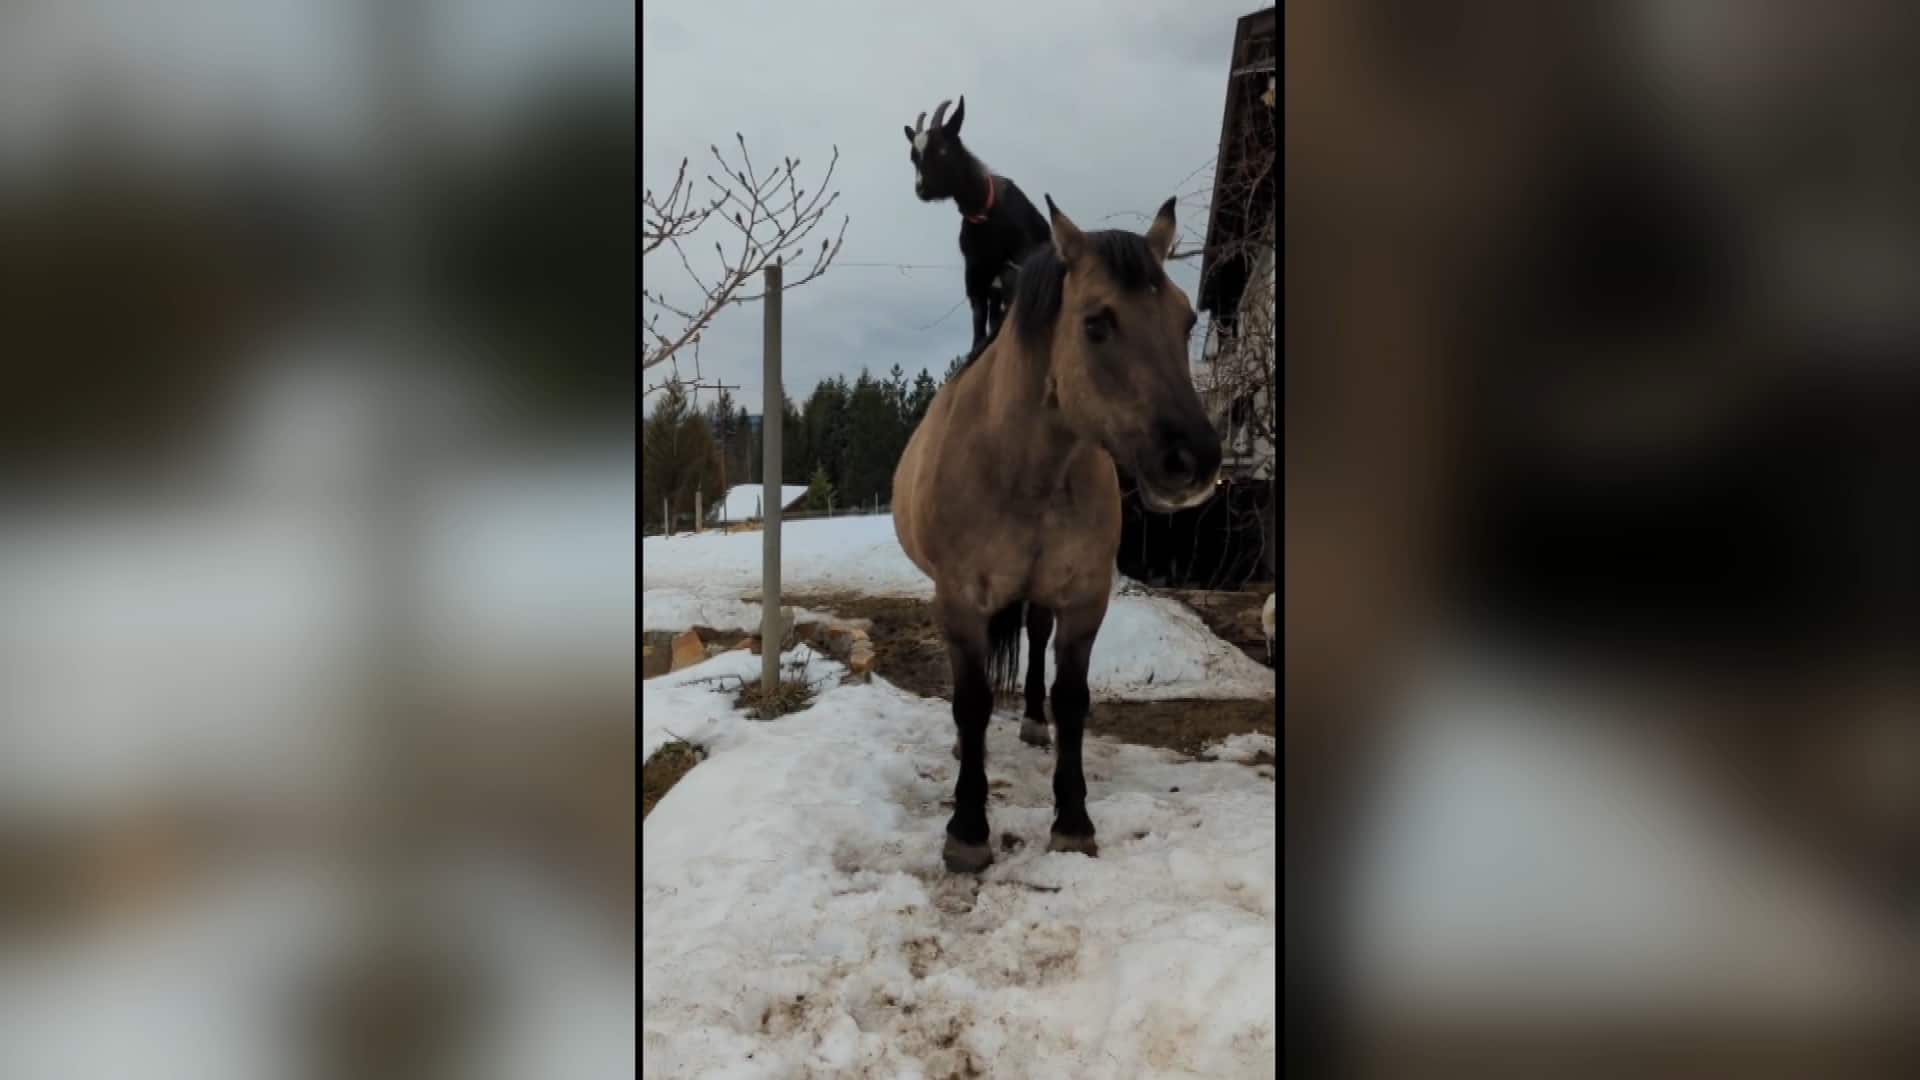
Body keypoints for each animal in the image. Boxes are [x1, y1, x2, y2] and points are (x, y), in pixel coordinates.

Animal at [894, 191, 1221, 864]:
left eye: (1185, 321)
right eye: (1097, 322)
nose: (1195, 461)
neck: (1023, 468)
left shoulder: (1083, 597)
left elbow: (1073, 701)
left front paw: (1072, 820)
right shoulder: (959, 597)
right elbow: (971, 700)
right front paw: (968, 830)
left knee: (1035, 638)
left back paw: (1032, 723)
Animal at [902, 95, 1052, 355]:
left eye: (943, 149)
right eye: (914, 157)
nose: (921, 189)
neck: (986, 213)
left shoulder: (1019, 261)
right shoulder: (975, 273)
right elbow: (979, 322)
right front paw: (976, 349)